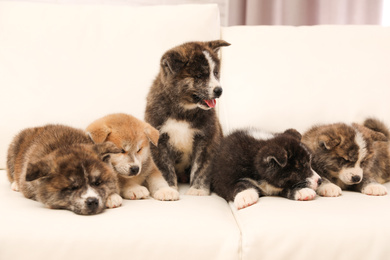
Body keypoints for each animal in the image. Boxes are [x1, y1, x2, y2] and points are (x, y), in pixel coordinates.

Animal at [145, 39, 230, 196]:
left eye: (215, 73)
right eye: (199, 76)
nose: (219, 90)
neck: (183, 111)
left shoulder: (207, 138)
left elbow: (201, 167)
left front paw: (198, 189)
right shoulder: (159, 140)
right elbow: (164, 167)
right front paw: (168, 188)